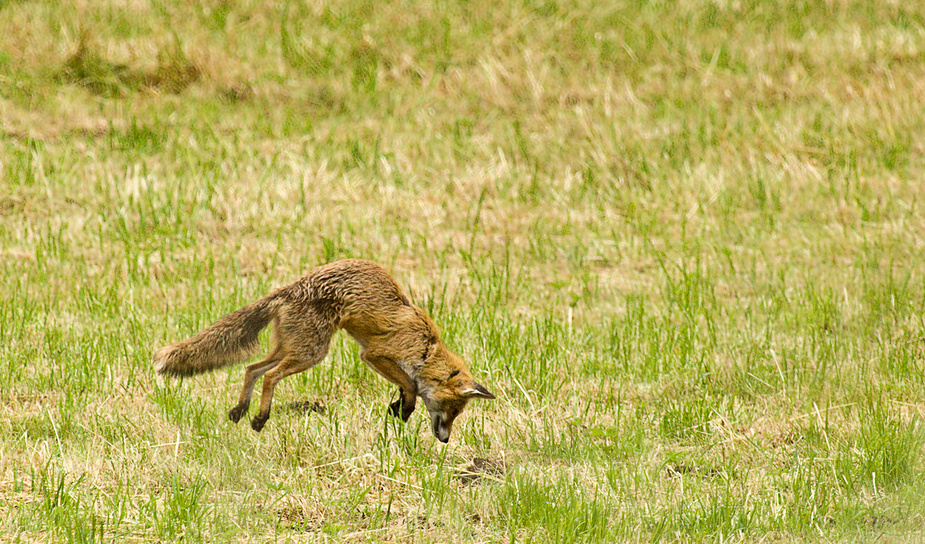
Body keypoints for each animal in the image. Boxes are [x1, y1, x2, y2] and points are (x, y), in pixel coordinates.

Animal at [152, 260, 494, 442]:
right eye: (452, 411)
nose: (446, 439)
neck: (426, 348)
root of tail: (290, 288)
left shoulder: (382, 360)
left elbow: (405, 386)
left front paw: (398, 408)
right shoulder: (374, 355)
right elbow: (409, 384)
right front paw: (404, 409)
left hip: (293, 348)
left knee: (252, 369)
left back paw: (241, 410)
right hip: (311, 353)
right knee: (269, 377)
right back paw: (261, 417)